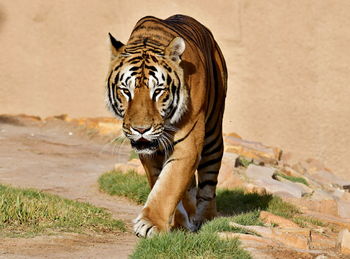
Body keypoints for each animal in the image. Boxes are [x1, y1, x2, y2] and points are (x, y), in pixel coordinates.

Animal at [105, 13, 228, 238]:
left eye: (158, 91)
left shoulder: (189, 142)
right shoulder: (149, 153)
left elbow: (169, 183)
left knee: (209, 180)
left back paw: (205, 219)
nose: (141, 129)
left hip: (213, 132)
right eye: (126, 91)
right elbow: (161, 183)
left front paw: (150, 224)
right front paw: (177, 223)